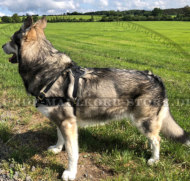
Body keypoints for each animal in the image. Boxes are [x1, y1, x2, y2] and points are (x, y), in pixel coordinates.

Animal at [1, 16, 190, 180]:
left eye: (10, 40)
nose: (2, 45)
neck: (47, 70)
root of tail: (155, 77)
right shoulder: (61, 121)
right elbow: (60, 138)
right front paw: (56, 148)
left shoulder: (68, 124)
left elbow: (72, 153)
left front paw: (70, 173)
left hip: (143, 122)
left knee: (157, 140)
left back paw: (154, 160)